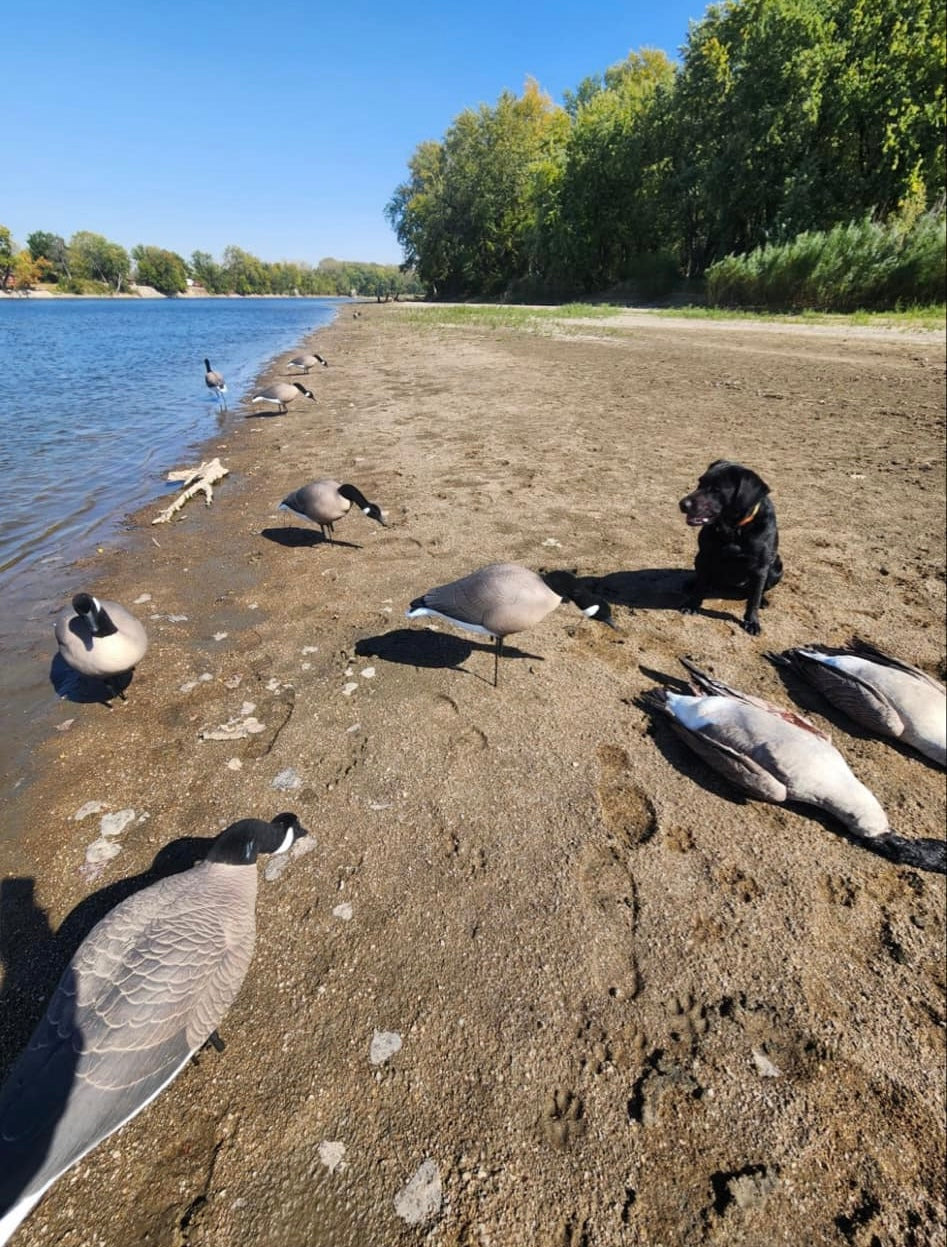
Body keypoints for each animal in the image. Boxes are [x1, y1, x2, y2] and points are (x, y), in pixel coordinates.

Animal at [683, 458, 783, 633]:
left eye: (716, 489)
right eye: (700, 483)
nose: (682, 504)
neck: (734, 530)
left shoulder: (760, 568)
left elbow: (754, 600)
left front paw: (752, 621)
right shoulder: (705, 557)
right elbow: (700, 586)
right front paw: (692, 604)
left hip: (776, 568)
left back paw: (763, 600)